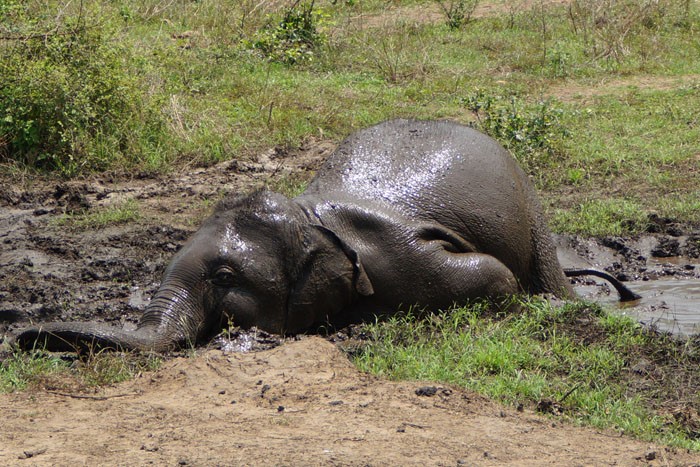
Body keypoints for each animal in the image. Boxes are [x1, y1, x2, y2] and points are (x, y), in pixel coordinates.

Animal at [15, 119, 640, 352]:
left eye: (225, 277)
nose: (23, 339)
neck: (309, 218)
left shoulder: (400, 257)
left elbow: (491, 276)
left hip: (532, 213)